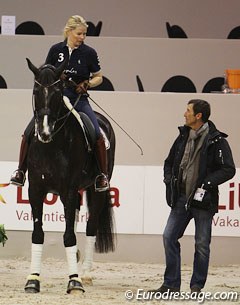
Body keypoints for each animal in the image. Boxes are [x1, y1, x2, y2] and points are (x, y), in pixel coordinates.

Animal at [24, 58, 115, 294]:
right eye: (36, 91)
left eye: (57, 92)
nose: (44, 132)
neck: (51, 145)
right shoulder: (35, 190)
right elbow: (38, 234)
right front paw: (33, 279)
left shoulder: (69, 190)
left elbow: (69, 236)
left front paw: (75, 282)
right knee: (74, 218)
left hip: (95, 189)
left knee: (91, 227)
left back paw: (86, 274)